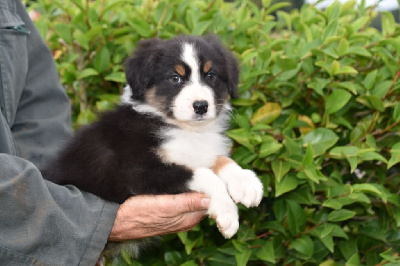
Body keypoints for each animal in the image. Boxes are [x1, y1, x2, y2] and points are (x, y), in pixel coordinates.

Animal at [42, 34, 264, 245]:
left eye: (211, 75)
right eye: (175, 78)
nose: (201, 106)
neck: (182, 129)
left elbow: (220, 160)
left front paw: (246, 183)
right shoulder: (138, 171)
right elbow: (203, 174)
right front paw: (228, 214)